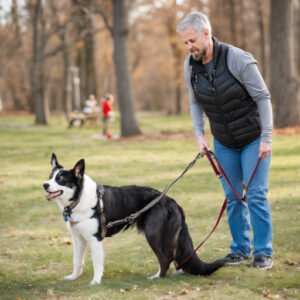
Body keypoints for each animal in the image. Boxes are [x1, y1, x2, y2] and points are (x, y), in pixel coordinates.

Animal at [42, 155, 225, 286]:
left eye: (60, 179)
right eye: (50, 177)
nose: (44, 184)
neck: (79, 198)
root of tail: (172, 202)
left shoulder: (95, 240)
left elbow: (96, 263)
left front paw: (96, 281)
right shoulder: (78, 239)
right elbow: (76, 261)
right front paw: (73, 277)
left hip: (152, 234)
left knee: (166, 258)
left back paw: (157, 277)